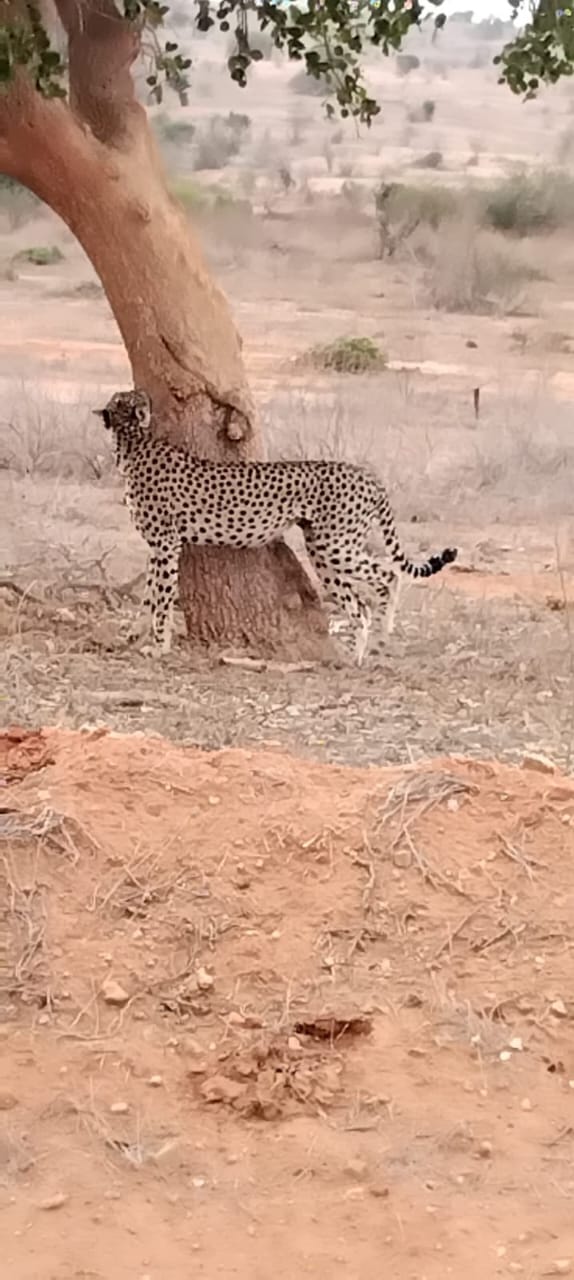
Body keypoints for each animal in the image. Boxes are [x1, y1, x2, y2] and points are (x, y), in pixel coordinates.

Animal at [94, 388, 458, 665]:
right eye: (127, 397)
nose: (144, 395)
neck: (133, 444)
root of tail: (368, 474)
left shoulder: (167, 544)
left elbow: (163, 596)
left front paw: (160, 646)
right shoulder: (157, 546)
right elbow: (148, 594)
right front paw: (136, 634)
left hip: (335, 546)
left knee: (387, 577)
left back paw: (375, 643)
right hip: (323, 549)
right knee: (363, 601)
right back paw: (359, 654)